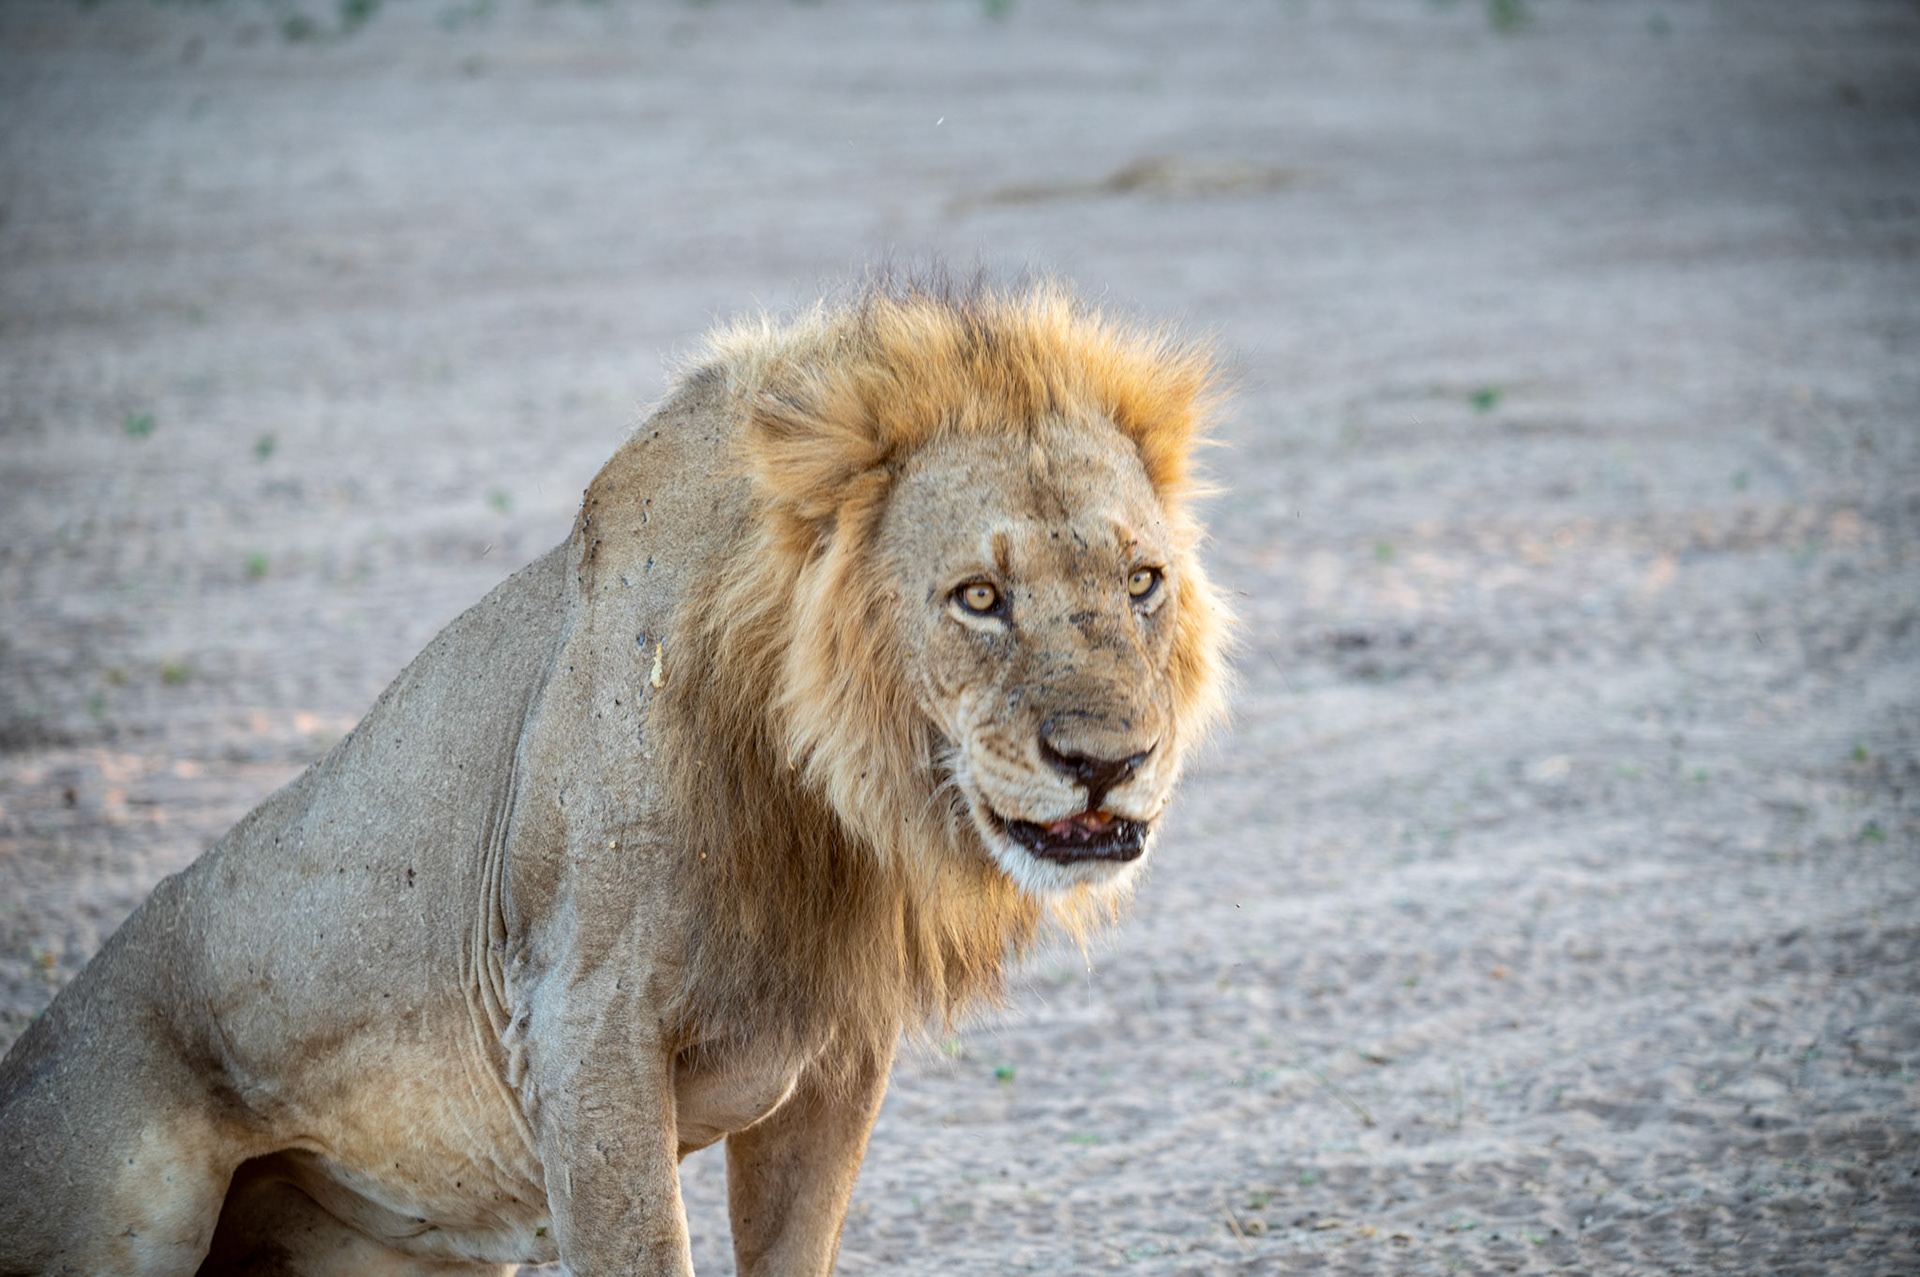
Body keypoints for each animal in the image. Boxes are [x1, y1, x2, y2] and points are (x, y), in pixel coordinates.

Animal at [0, 277, 1229, 1276]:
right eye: (978, 596)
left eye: (1142, 581)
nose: (1109, 762)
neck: (825, 798)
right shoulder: (582, 1022)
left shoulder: (836, 1057)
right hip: (128, 1208)